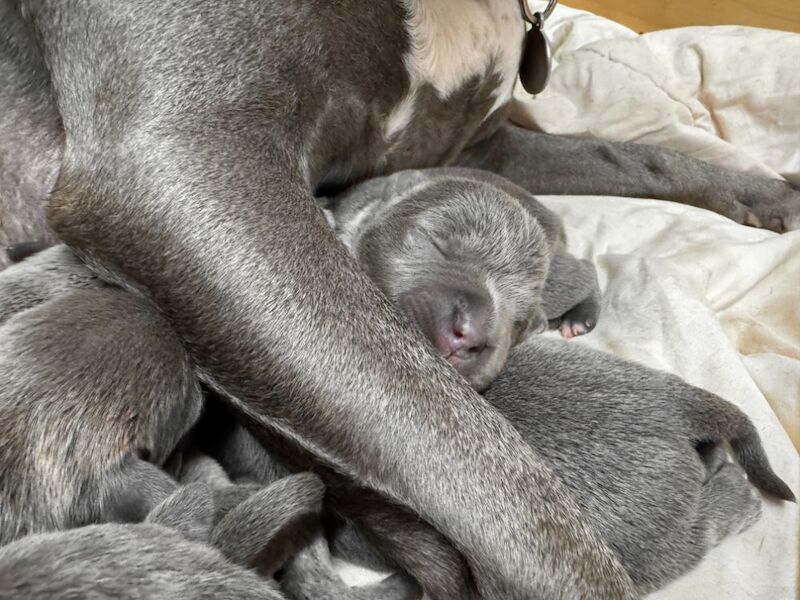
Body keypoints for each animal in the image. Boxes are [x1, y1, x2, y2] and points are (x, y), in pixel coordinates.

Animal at [324, 165, 600, 390]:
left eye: (518, 322)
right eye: (437, 245)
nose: (469, 336)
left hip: (556, 282)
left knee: (585, 270)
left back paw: (581, 317)